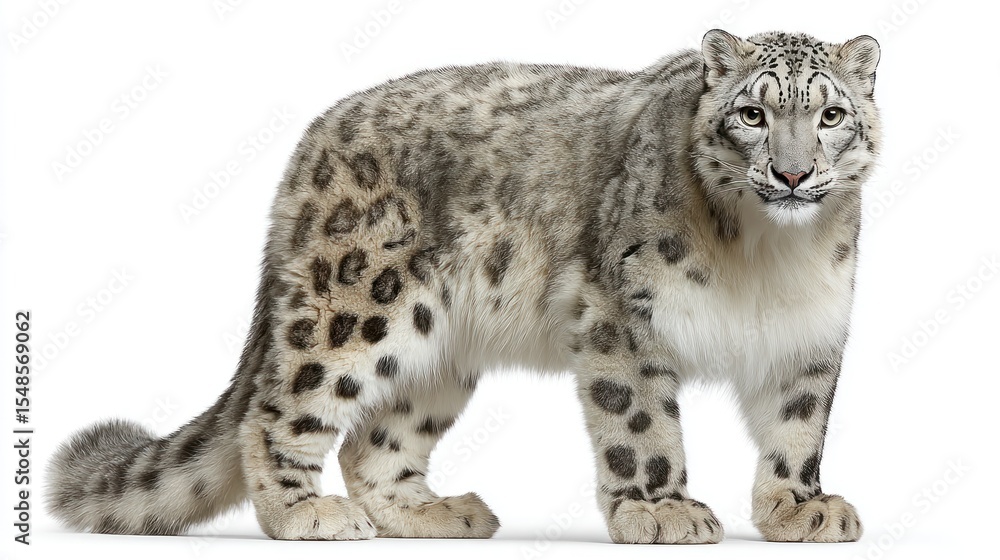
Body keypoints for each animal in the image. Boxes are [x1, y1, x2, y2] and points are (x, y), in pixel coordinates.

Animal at [46, 29, 880, 544]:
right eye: (753, 113)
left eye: (832, 113)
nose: (793, 174)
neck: (771, 255)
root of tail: (313, 141)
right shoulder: (621, 317)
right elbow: (642, 424)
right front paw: (662, 509)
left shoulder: (812, 331)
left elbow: (799, 425)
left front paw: (801, 507)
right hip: (355, 306)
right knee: (280, 407)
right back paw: (307, 511)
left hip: (437, 350)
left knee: (374, 442)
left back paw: (436, 511)